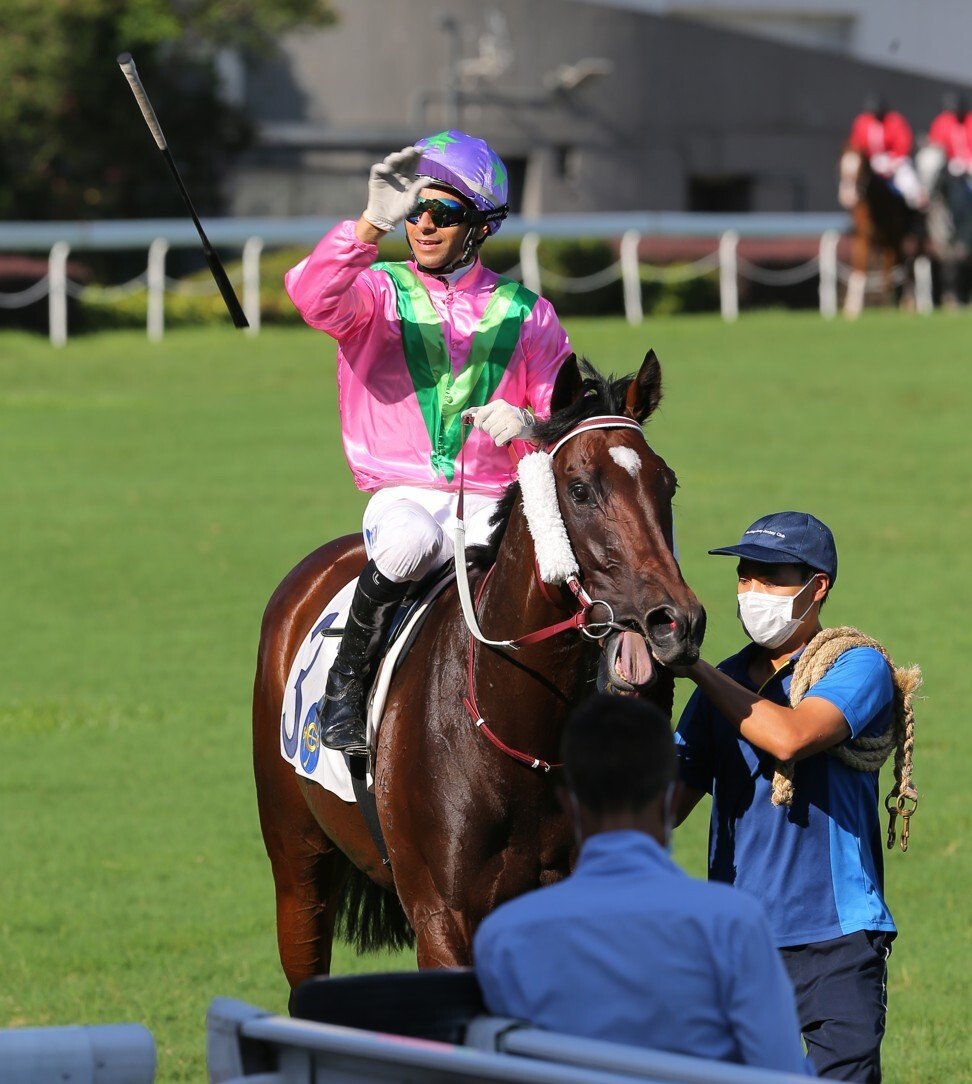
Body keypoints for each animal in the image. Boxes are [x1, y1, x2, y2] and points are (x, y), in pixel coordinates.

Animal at [253, 351, 702, 988]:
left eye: (667, 483)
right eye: (580, 489)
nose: (675, 623)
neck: (516, 724)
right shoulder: (443, 920)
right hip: (298, 863)